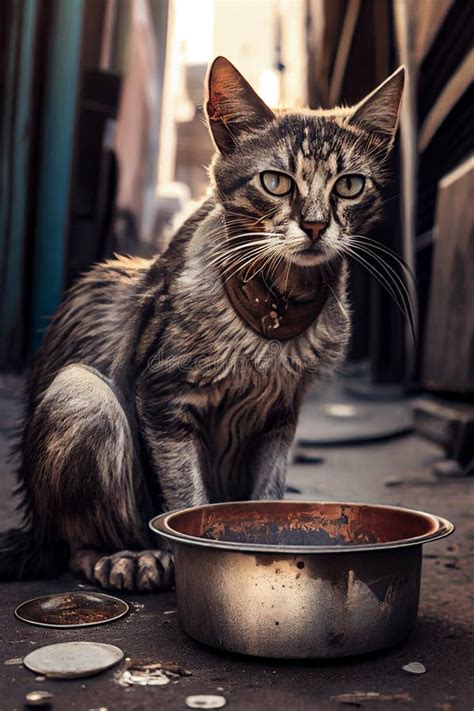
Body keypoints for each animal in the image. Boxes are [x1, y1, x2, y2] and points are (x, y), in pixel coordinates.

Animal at [0, 54, 404, 588]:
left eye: (350, 186)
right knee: (74, 544)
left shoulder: (281, 414)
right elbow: (184, 497)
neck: (277, 313)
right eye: (276, 181)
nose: (316, 225)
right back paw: (124, 557)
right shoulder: (162, 398)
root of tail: (34, 530)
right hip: (81, 394)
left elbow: (266, 495)